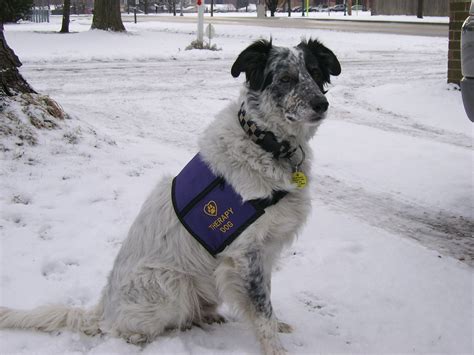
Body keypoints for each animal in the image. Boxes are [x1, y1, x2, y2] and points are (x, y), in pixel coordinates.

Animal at [0, 37, 340, 354]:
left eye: (315, 72)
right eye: (286, 78)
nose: (321, 104)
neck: (264, 144)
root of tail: (103, 308)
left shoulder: (264, 251)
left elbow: (266, 302)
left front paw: (278, 324)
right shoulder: (245, 254)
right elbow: (261, 310)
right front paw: (275, 348)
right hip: (171, 283)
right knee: (121, 329)